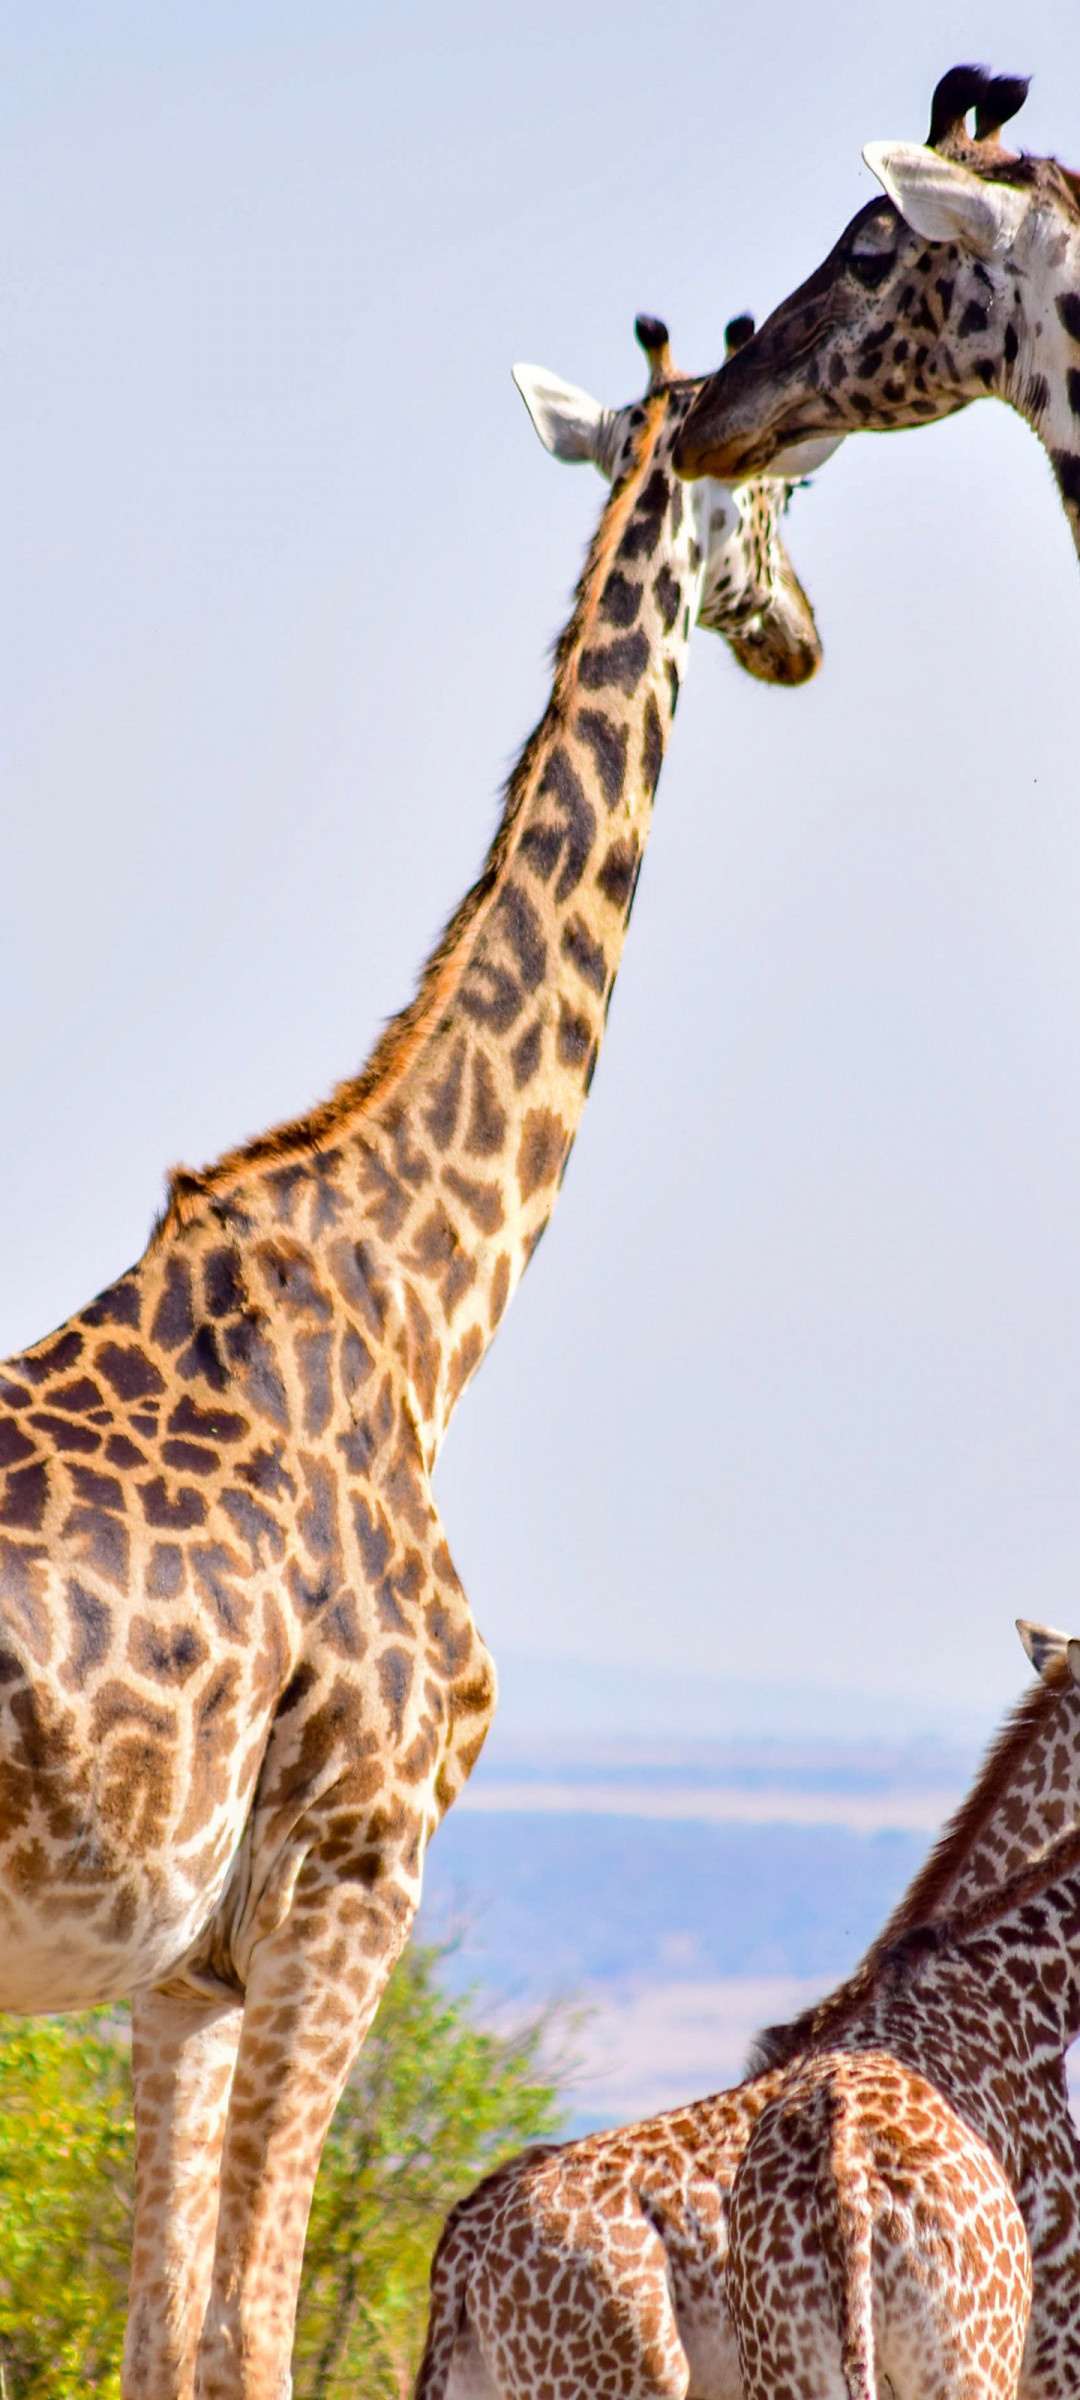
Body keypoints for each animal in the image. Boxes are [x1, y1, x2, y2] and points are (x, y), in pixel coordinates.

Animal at [0, 319, 830, 2400]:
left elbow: (167, 2341)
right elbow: (256, 2334)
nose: (800, 636)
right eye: (792, 491)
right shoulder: (350, 1882)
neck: (424, 1297)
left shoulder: (189, 1971)